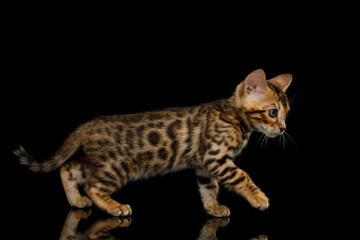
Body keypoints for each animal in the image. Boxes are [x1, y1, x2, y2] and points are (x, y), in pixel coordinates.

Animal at [11, 68, 292, 217]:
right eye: (273, 112)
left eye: (287, 113)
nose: (283, 128)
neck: (233, 115)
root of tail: (90, 123)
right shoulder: (215, 157)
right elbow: (242, 177)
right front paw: (259, 198)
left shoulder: (204, 164)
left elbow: (208, 187)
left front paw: (213, 207)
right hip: (117, 166)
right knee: (93, 186)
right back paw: (114, 207)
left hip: (98, 162)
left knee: (67, 169)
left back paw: (76, 201)